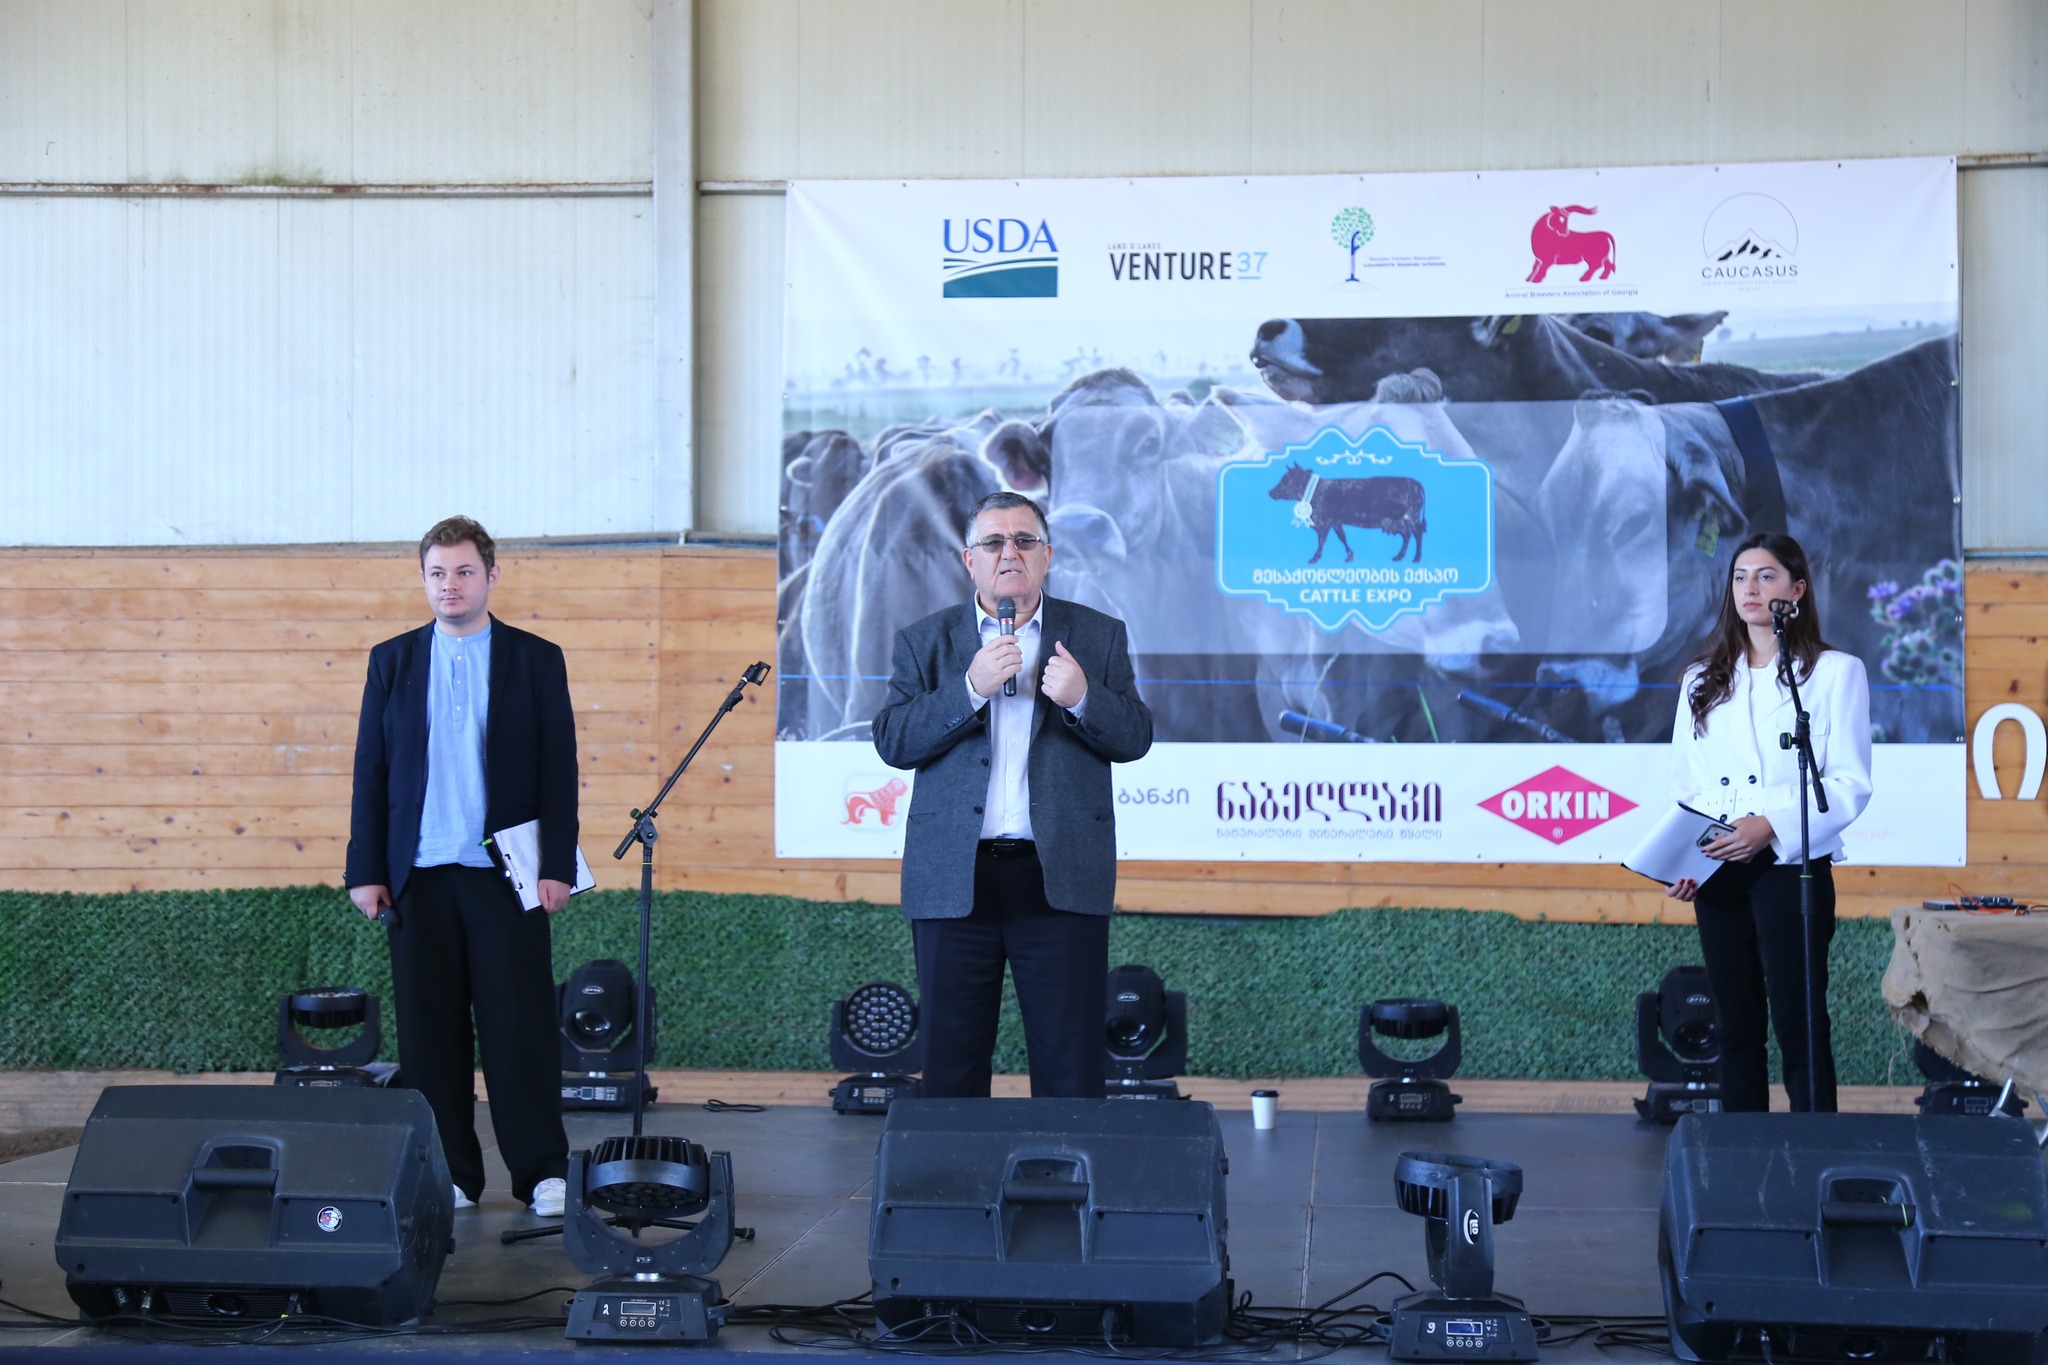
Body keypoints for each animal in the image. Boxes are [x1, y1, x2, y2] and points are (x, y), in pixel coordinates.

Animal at [1266, 462, 1426, 564]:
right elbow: (1342, 536)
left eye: (1288, 480)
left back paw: (1417, 558)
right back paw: (1399, 556)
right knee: (1407, 535)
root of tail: (1415, 483)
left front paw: (1315, 558)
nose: (1271, 493)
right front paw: (1349, 556)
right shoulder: (1336, 521)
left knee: (1417, 534)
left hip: (1412, 515)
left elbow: (1322, 539)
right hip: (1399, 520)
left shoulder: (1324, 521)